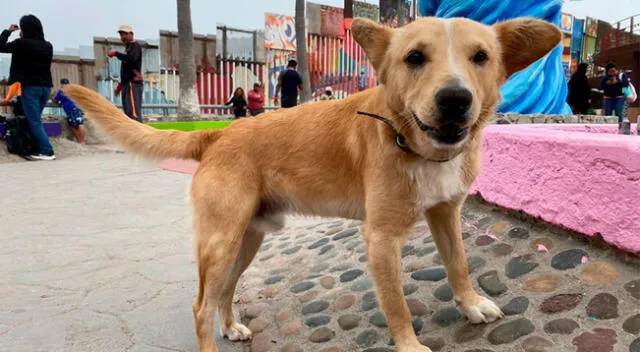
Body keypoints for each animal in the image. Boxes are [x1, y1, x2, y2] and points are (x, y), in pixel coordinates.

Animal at [61, 15, 560, 352]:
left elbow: (458, 264)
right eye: (414, 58)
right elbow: (397, 305)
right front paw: (411, 342)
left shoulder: (445, 213)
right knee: (200, 305)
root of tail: (219, 133)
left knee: (223, 292)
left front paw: (471, 303)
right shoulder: (381, 239)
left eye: (481, 58)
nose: (455, 99)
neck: (412, 143)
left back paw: (231, 326)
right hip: (220, 242)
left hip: (246, 241)